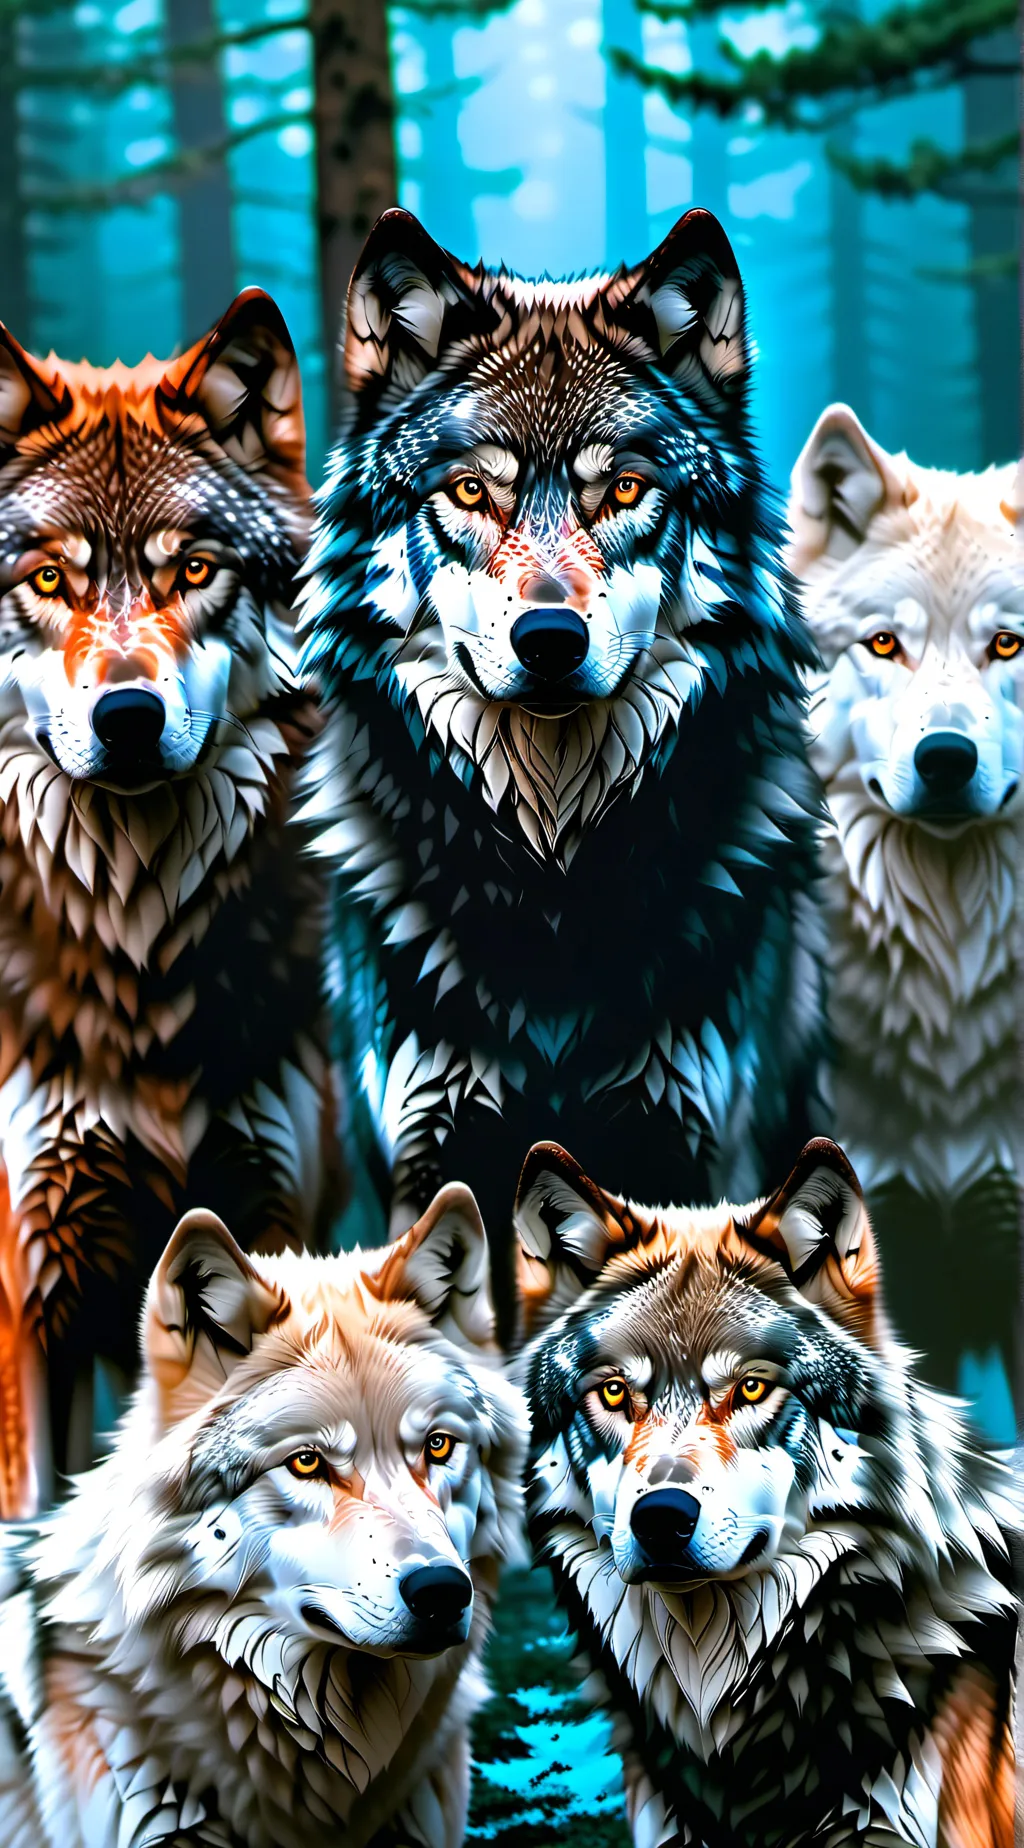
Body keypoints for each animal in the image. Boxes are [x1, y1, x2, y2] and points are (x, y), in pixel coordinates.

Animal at [300, 206, 825, 1320]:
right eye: (469, 492)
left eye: (623, 488)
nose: (548, 639)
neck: (552, 886)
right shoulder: (431, 1152)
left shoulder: (691, 1142)